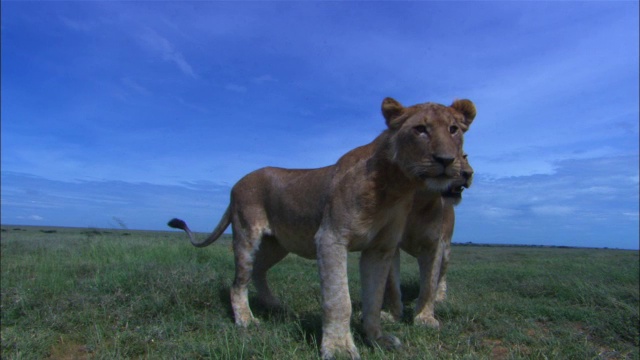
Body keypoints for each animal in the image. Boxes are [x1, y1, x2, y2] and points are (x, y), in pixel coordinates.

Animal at [382, 153, 472, 328]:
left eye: (465, 156)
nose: (468, 173)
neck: (416, 200)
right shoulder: (389, 243)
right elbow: (392, 285)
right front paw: (393, 315)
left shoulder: (434, 245)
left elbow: (429, 285)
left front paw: (424, 317)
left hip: (446, 251)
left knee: (441, 277)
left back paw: (440, 296)